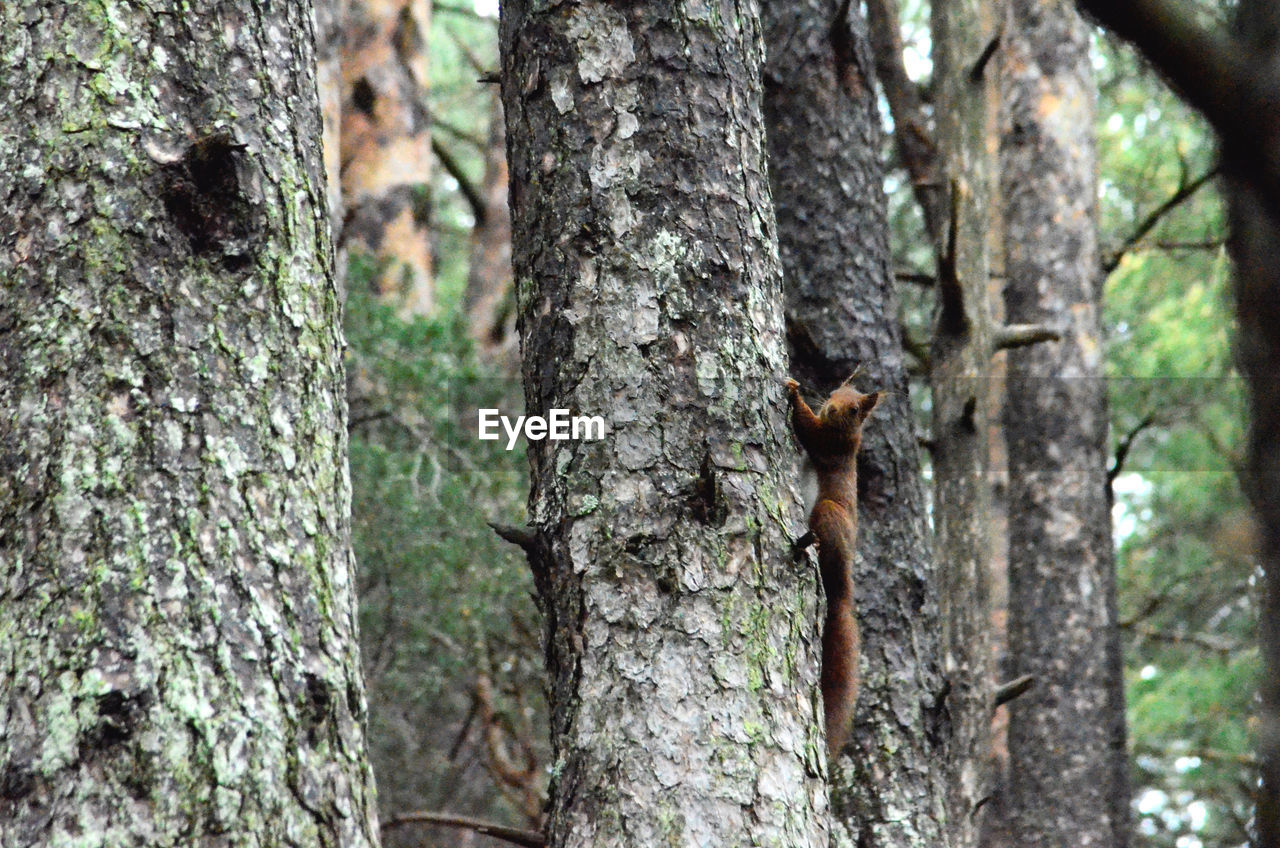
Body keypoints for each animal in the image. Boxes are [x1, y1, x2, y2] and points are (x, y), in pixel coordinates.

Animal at [778, 379, 880, 763]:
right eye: (835, 391)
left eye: (854, 408)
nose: (831, 407)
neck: (850, 436)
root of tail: (842, 592)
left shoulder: (831, 446)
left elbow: (808, 428)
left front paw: (793, 391)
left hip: (828, 513)